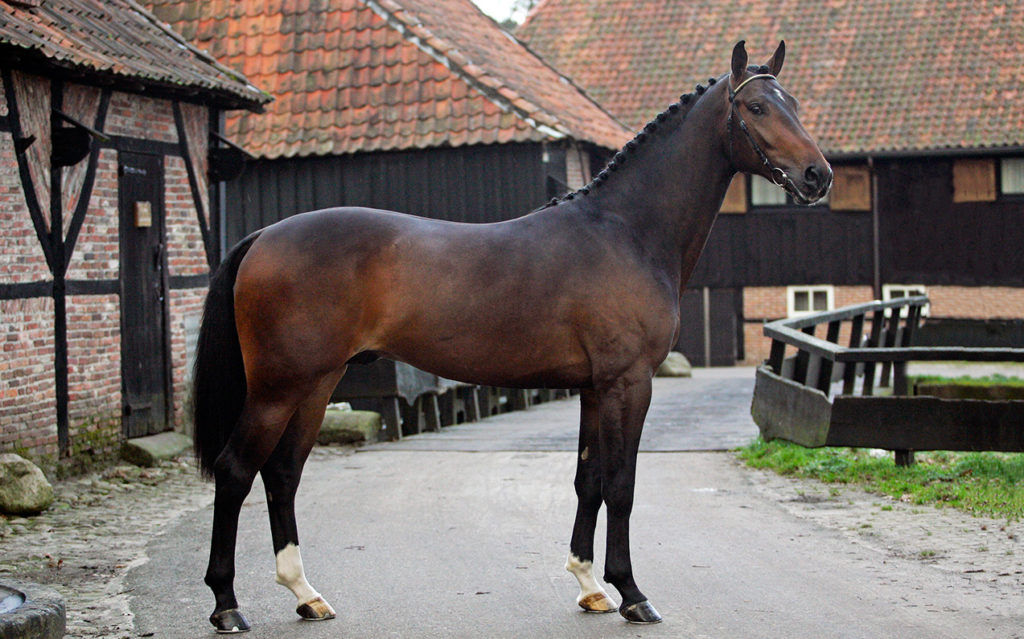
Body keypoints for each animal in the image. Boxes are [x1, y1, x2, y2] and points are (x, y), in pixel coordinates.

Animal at [192, 40, 832, 633]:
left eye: (796, 104)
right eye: (756, 106)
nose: (817, 176)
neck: (626, 231)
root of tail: (263, 236)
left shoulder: (594, 387)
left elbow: (588, 480)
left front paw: (589, 586)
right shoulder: (628, 384)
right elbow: (621, 484)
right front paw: (632, 594)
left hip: (317, 384)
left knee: (282, 474)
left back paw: (307, 596)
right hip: (279, 387)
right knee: (235, 471)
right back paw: (226, 605)